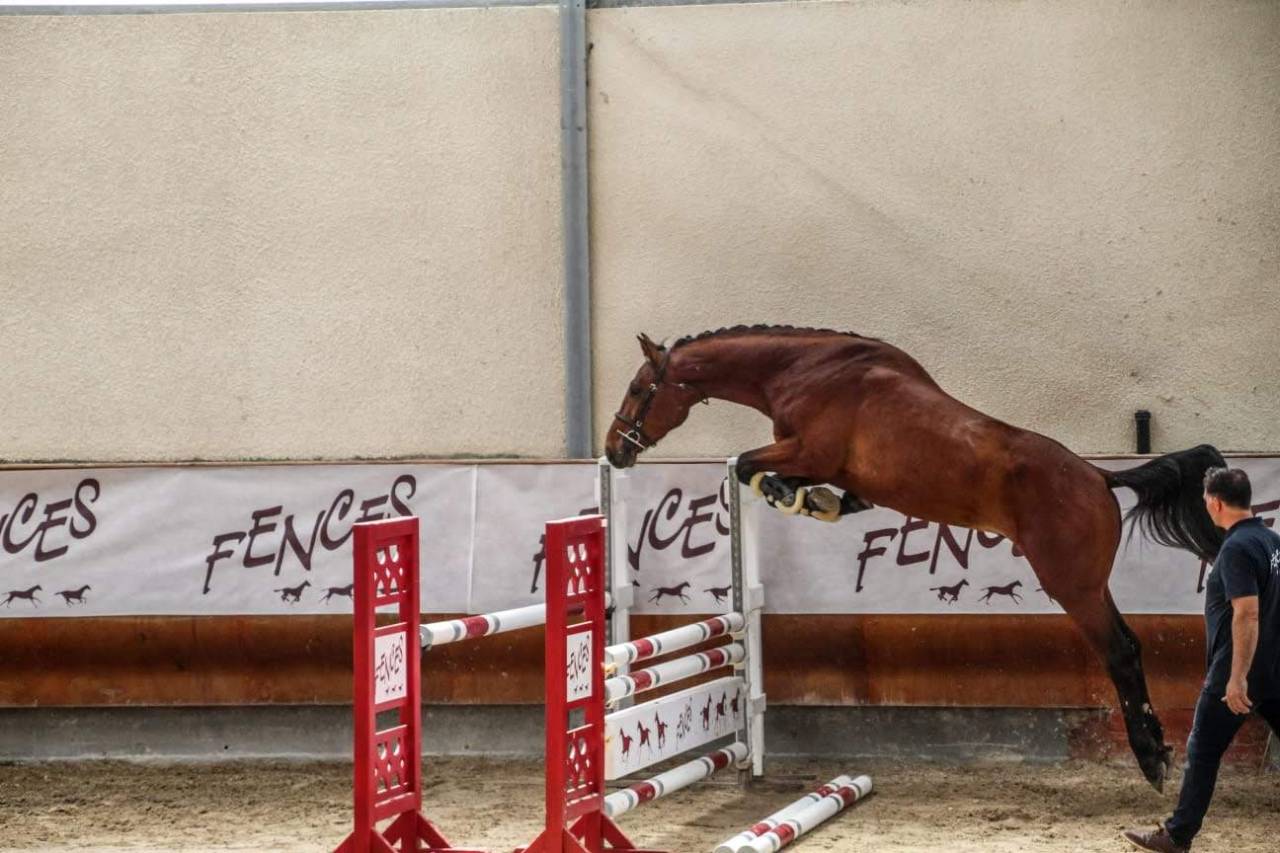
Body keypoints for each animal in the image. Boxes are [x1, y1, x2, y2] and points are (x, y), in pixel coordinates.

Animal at [604, 325, 1225, 791]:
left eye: (637, 388)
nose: (614, 450)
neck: (803, 370)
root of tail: (1100, 477)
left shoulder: (808, 451)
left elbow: (749, 464)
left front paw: (790, 495)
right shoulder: (836, 469)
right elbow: (807, 485)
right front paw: (819, 501)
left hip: (1071, 587)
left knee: (1119, 652)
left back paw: (1151, 759)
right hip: (1092, 586)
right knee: (1131, 646)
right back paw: (1158, 751)